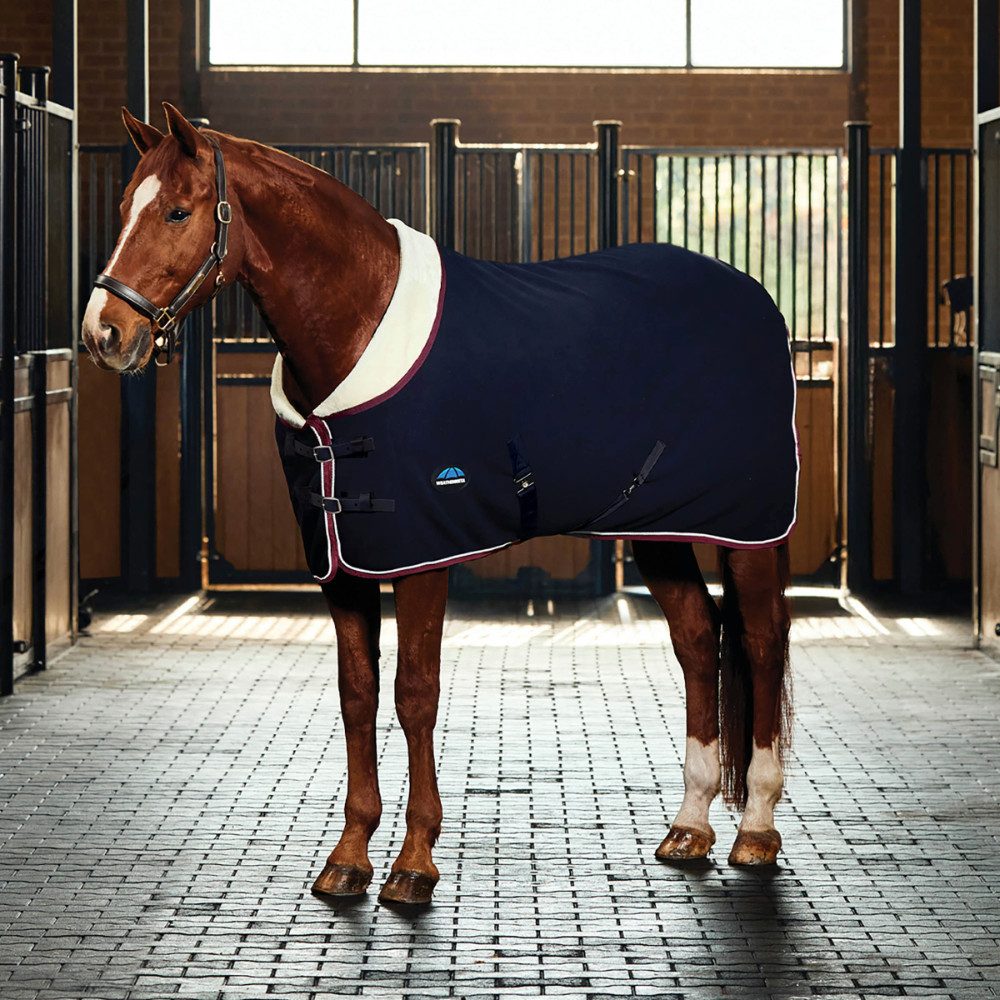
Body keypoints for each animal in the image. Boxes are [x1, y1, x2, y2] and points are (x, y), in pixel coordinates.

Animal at [81, 104, 794, 907]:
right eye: (123, 208)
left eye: (178, 210)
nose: (104, 333)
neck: (357, 325)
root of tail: (754, 299)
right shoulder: (341, 564)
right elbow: (357, 694)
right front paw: (349, 856)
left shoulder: (423, 554)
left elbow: (414, 693)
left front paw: (414, 862)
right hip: (659, 530)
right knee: (698, 641)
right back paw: (689, 828)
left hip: (751, 531)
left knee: (762, 643)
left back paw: (756, 831)